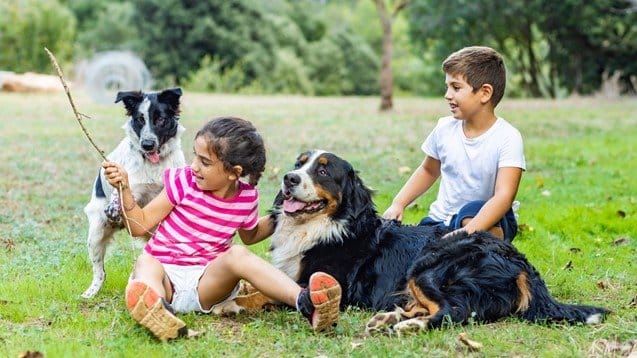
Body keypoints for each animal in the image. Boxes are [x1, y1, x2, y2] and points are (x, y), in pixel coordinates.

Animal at [80, 87, 185, 300]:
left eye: (160, 119)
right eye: (139, 119)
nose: (147, 144)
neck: (154, 165)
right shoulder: (132, 189)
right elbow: (121, 193)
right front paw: (114, 206)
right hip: (96, 234)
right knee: (99, 271)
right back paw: (91, 291)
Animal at [225, 150, 608, 334]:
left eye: (321, 170)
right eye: (299, 164)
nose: (289, 179)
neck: (321, 226)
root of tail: (518, 260)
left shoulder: (324, 284)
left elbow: (267, 292)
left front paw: (231, 304)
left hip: (429, 266)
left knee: (454, 312)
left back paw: (409, 325)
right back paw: (389, 318)